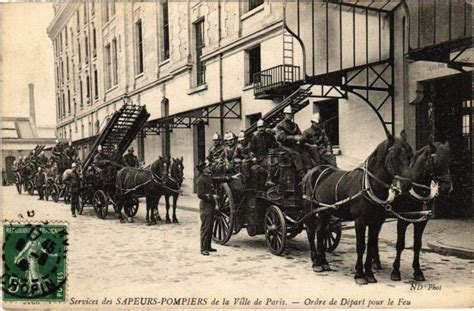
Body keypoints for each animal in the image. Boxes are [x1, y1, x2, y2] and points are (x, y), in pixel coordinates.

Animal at [302, 130, 412, 286]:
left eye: (410, 155)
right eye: (394, 155)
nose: (408, 185)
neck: (369, 186)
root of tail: (313, 170)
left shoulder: (376, 222)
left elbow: (371, 245)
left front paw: (370, 274)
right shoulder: (360, 221)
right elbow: (361, 246)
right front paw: (360, 275)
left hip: (325, 212)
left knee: (321, 231)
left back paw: (324, 262)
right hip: (310, 209)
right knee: (311, 231)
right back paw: (316, 263)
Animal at [388, 141, 452, 282]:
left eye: (449, 161)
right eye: (434, 161)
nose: (447, 188)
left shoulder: (421, 222)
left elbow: (417, 245)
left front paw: (417, 271)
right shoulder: (401, 220)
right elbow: (400, 244)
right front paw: (395, 271)